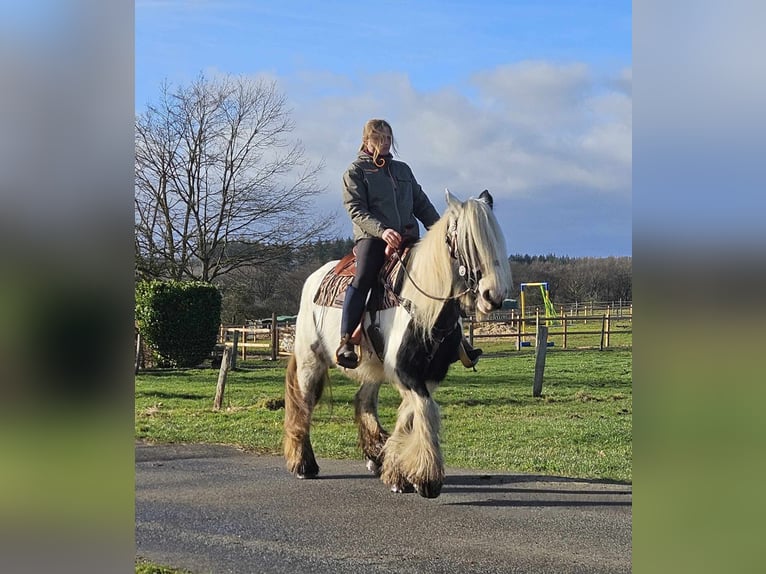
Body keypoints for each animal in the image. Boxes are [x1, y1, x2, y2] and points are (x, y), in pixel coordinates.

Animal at [284, 189, 516, 500]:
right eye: (468, 242)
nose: (494, 295)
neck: (422, 306)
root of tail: (314, 279)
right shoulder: (405, 372)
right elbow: (425, 411)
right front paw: (427, 479)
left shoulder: (427, 375)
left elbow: (410, 413)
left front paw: (396, 471)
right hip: (311, 361)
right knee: (304, 404)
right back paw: (303, 464)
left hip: (371, 367)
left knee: (364, 400)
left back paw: (374, 455)